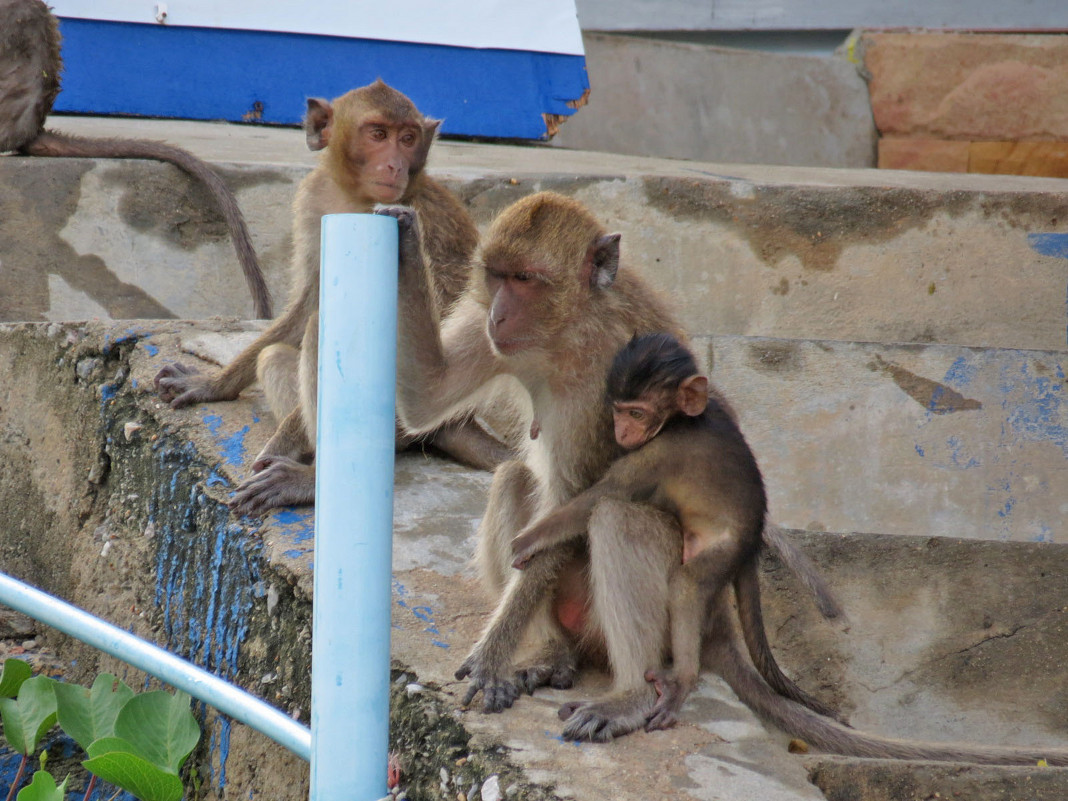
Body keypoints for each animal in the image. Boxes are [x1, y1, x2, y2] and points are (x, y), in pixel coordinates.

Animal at [153, 81, 512, 514]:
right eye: (378, 134)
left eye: (408, 139)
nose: (395, 165)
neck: (354, 200)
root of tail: (457, 422)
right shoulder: (314, 200)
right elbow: (307, 303)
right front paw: (212, 384)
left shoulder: (423, 220)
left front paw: (282, 458)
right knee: (275, 354)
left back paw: (309, 480)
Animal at [508, 333, 833, 734]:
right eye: (618, 410)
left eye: (637, 413)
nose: (621, 431)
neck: (678, 421)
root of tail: (753, 539)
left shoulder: (661, 451)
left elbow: (605, 494)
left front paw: (530, 539)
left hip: (721, 550)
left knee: (685, 584)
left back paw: (682, 678)